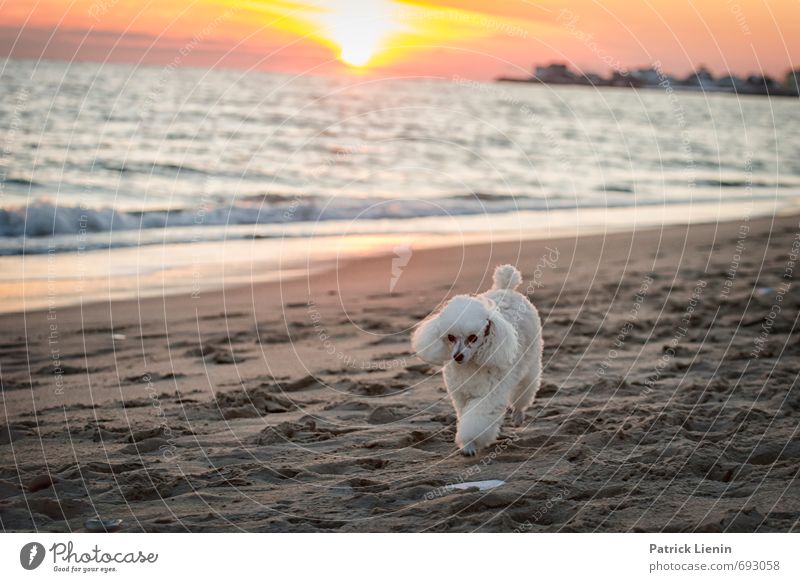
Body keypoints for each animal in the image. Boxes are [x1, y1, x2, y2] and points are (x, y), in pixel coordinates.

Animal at [412, 266, 544, 458]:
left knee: (525, 390)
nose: (457, 356)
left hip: (530, 364)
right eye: (450, 337)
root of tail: (505, 288)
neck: (471, 365)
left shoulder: (489, 394)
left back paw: (518, 416)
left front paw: (470, 443)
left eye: (473, 337)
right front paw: (467, 445)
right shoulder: (460, 395)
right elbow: (465, 415)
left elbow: (477, 420)